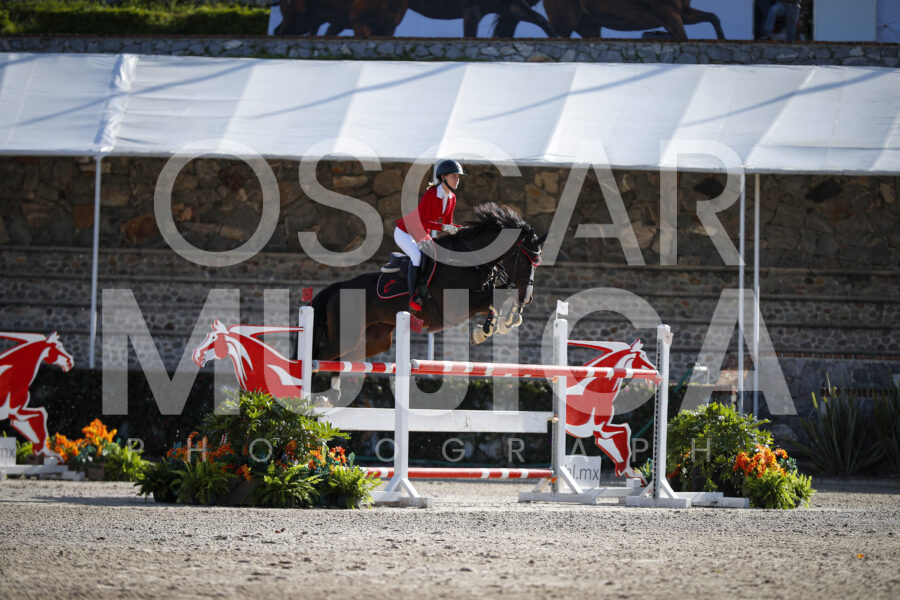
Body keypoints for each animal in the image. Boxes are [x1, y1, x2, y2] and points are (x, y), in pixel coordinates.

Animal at [310, 202, 546, 363]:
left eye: (538, 261)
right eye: (524, 259)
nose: (527, 297)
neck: (469, 262)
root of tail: (338, 288)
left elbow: (499, 296)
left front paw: (505, 321)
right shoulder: (455, 308)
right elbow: (496, 297)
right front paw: (487, 330)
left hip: (375, 339)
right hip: (347, 335)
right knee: (318, 357)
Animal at [565, 338, 658, 483]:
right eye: (643, 355)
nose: (656, 372)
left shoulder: (600, 431)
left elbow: (619, 436)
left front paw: (632, 473)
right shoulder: (599, 428)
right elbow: (625, 430)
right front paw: (623, 469)